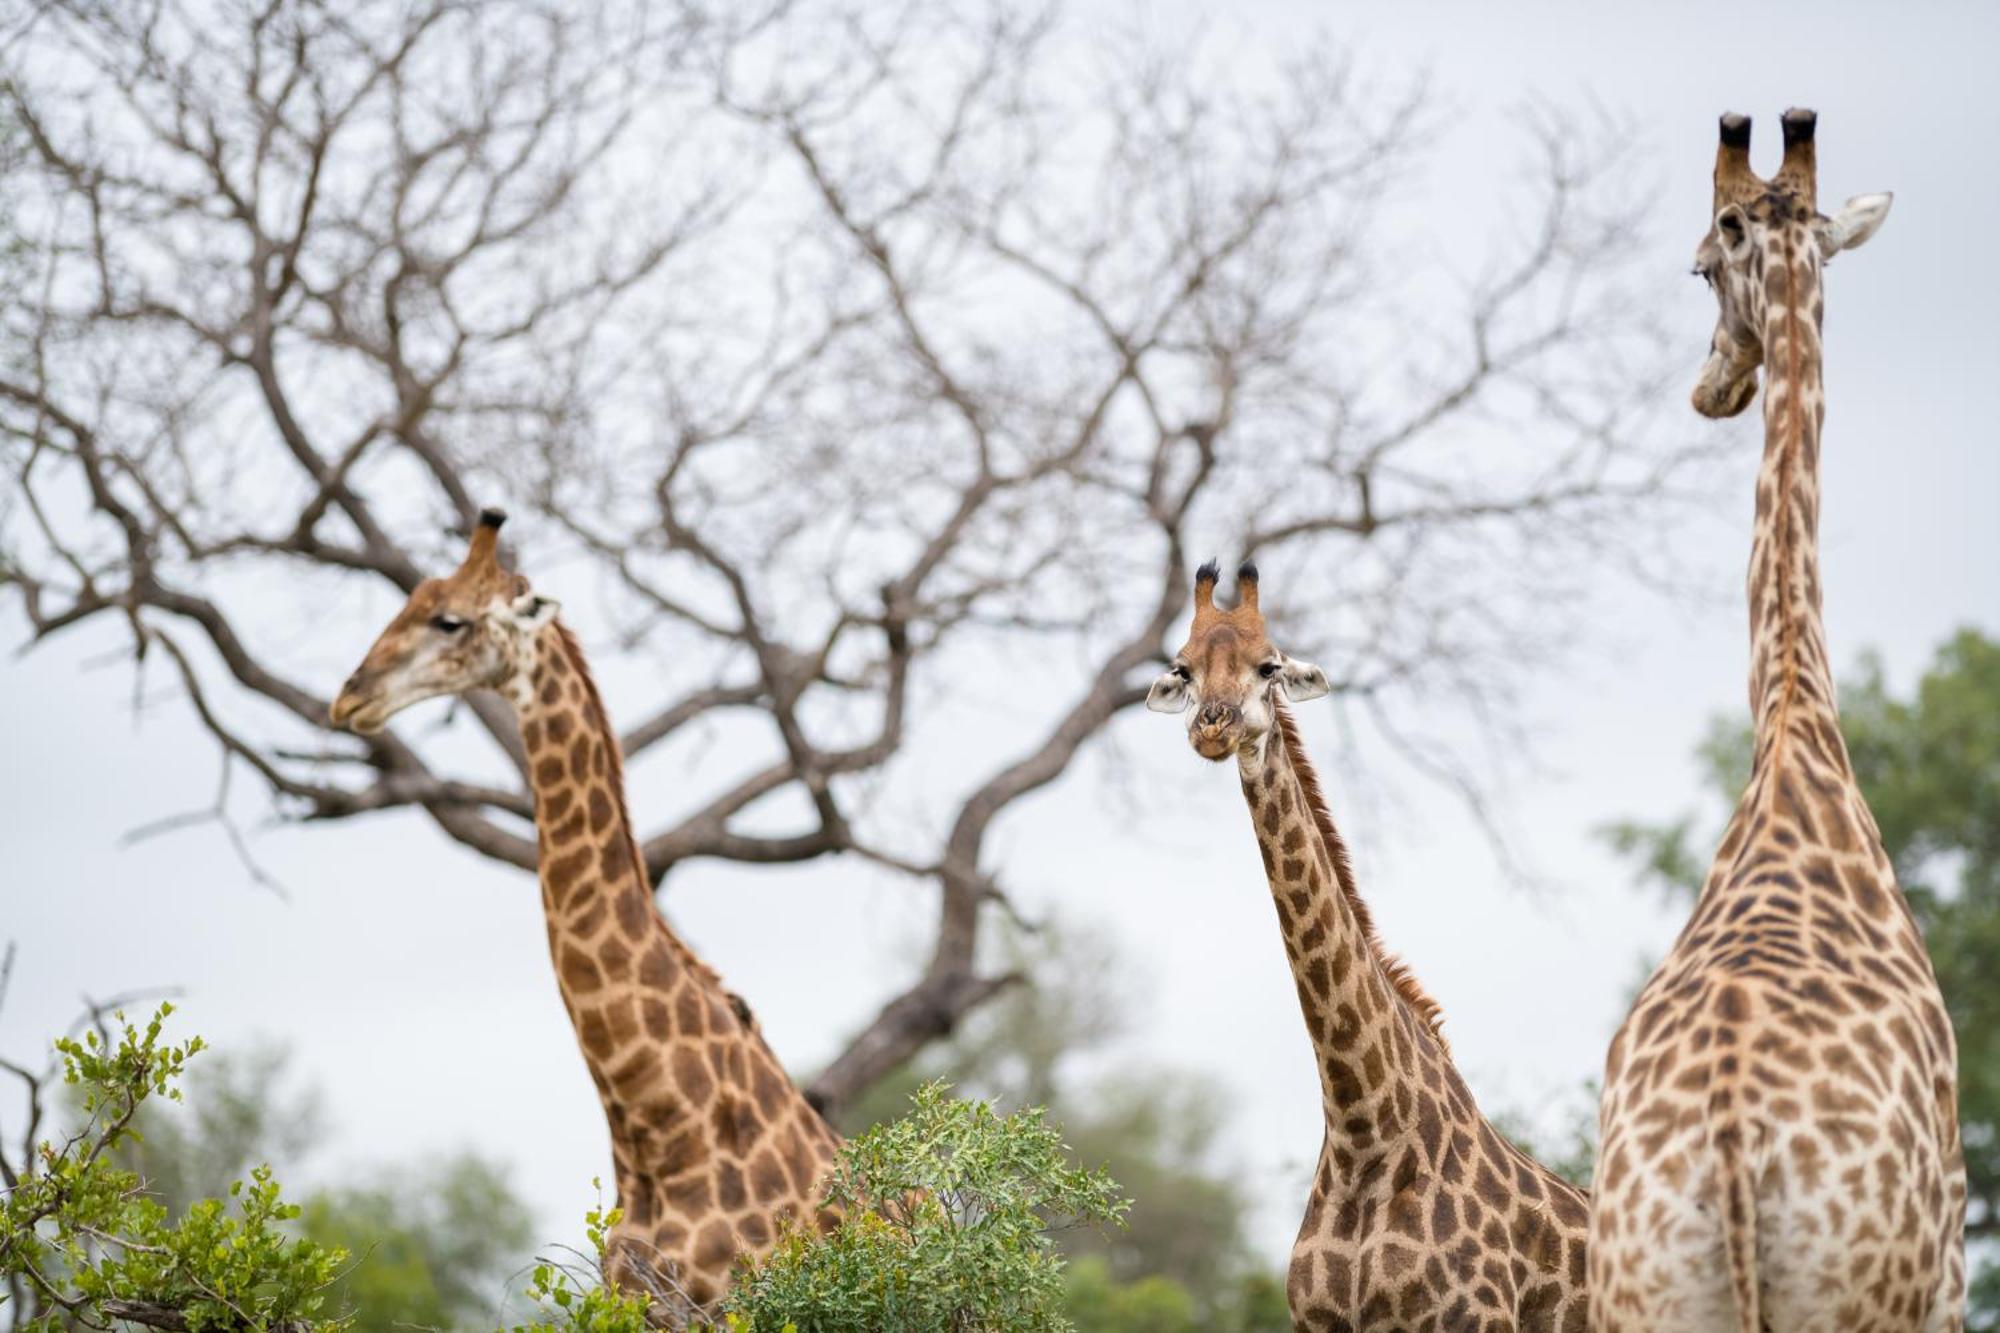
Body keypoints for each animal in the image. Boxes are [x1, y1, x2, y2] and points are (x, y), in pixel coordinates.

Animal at [1592, 111, 1968, 1328]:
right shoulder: (1949, 1274)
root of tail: (1729, 1142)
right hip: (1863, 1295)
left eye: (1699, 267)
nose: (1711, 389)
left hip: (1645, 1290)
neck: (1795, 727)